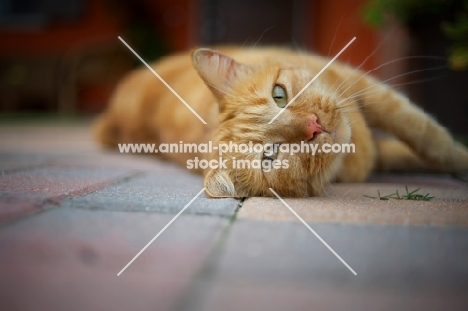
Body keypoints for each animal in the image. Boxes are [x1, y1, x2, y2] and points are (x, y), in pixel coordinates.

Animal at [94, 46, 468, 197]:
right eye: (270, 156)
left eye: (278, 95)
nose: (315, 125)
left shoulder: (359, 83)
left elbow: (423, 133)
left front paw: (458, 159)